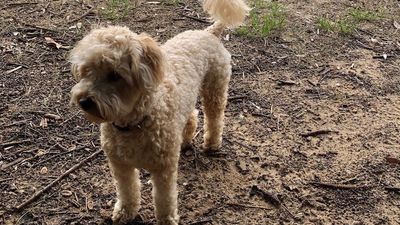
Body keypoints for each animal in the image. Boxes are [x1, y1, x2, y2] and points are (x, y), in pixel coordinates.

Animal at [69, 0, 250, 224]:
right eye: (86, 70)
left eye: (114, 75)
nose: (84, 101)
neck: (134, 123)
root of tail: (208, 32)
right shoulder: (120, 166)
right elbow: (127, 191)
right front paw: (125, 211)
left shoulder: (163, 170)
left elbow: (164, 200)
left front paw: (166, 219)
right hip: (187, 99)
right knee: (192, 116)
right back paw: (185, 140)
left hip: (215, 89)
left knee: (214, 117)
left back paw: (212, 144)